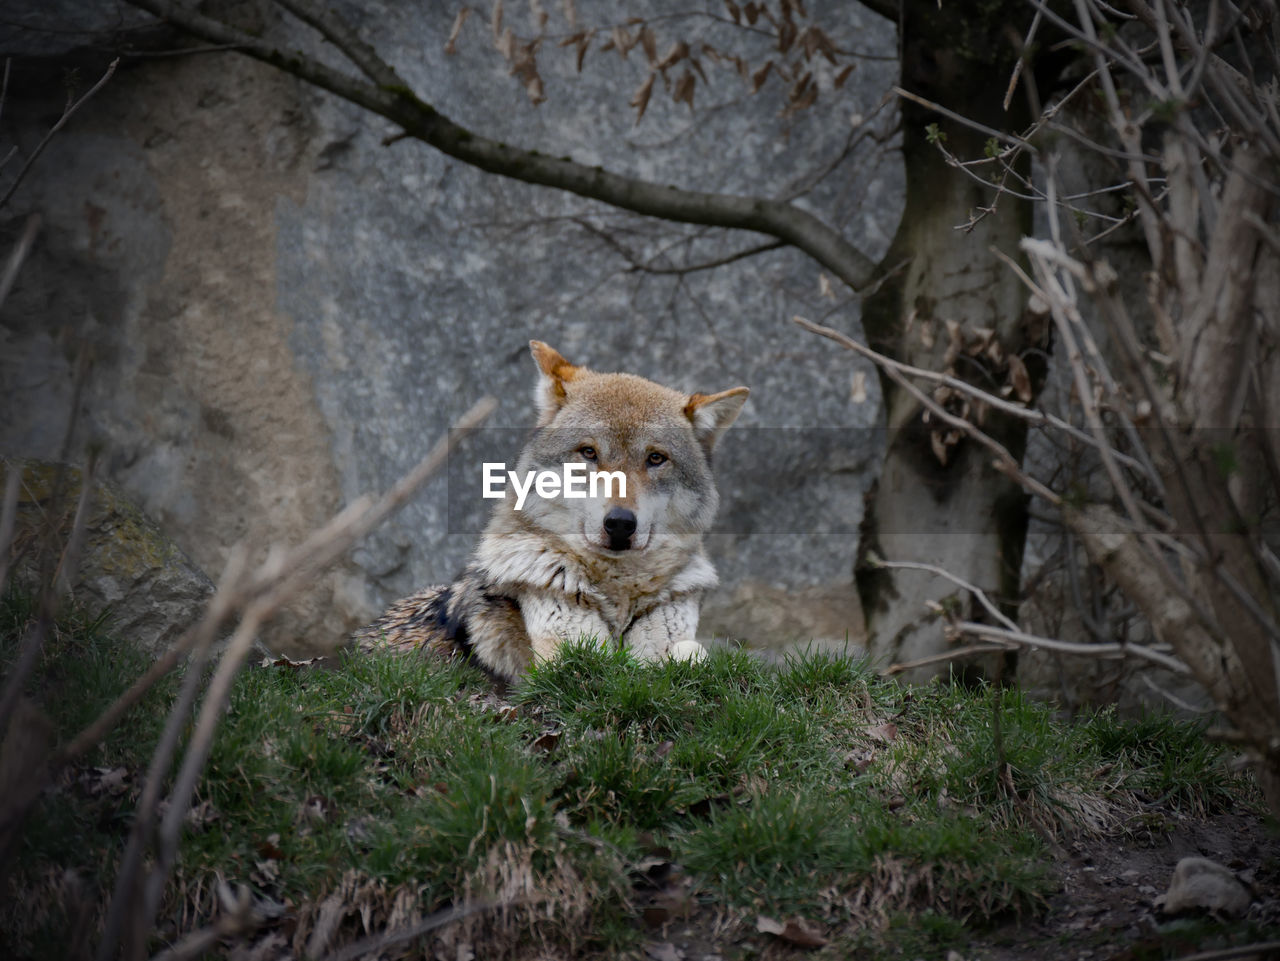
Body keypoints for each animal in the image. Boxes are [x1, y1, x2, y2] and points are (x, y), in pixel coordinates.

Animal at [353, 337, 747, 685]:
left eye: (655, 458)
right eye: (588, 452)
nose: (620, 524)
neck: (618, 598)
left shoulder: (670, 632)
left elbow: (688, 654)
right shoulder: (566, 653)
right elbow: (601, 663)